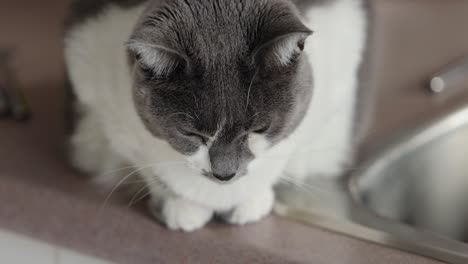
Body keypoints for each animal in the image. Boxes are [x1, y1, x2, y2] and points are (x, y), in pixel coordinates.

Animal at [64, 0, 368, 231]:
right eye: (191, 134)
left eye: (257, 130)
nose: (224, 174)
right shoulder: (98, 84)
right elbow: (143, 161)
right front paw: (181, 206)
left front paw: (251, 202)